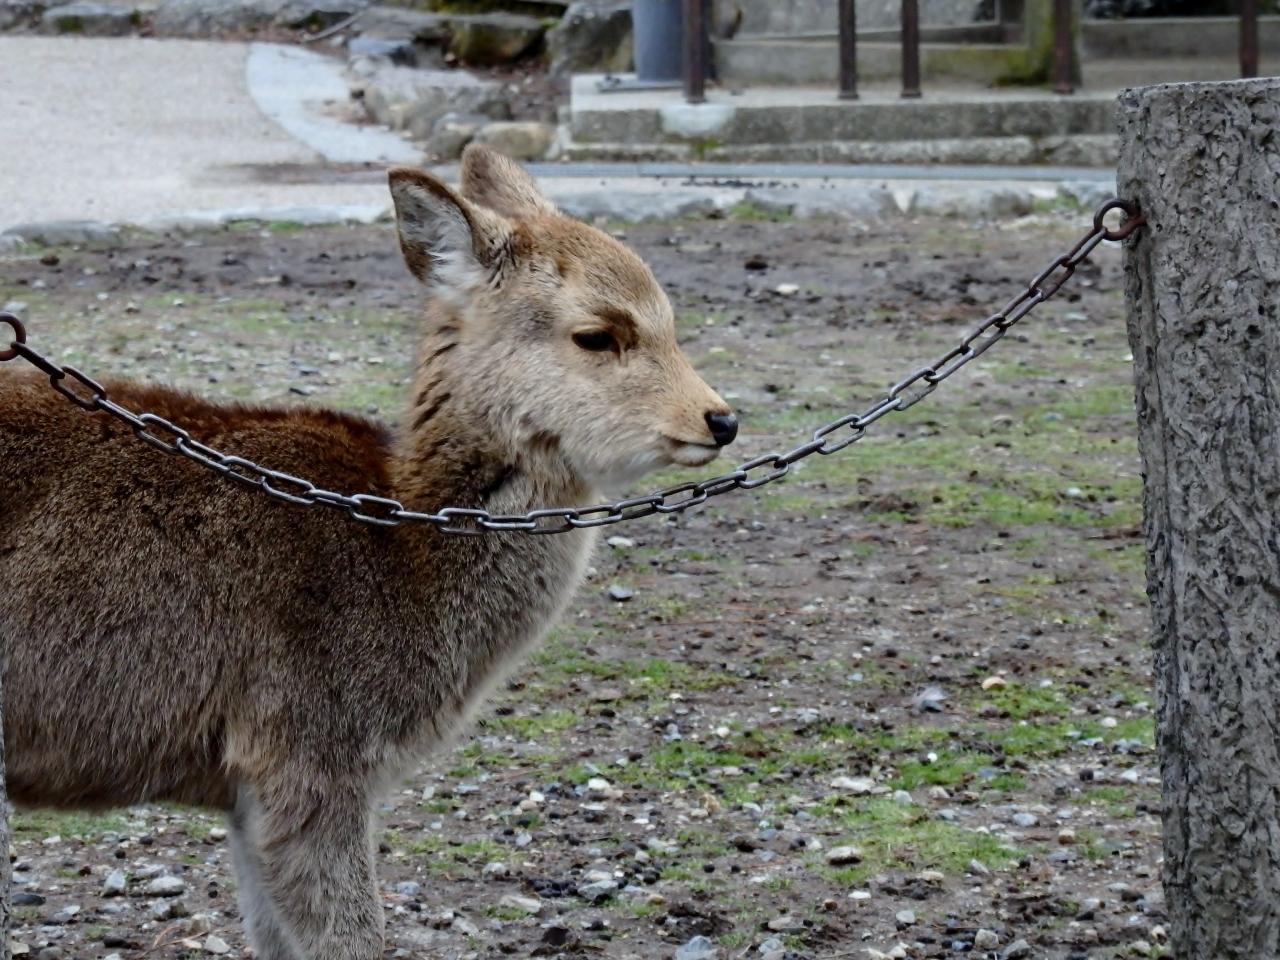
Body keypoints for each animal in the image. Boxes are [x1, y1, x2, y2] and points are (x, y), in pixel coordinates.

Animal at [0, 145, 739, 960]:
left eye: (671, 320)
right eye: (598, 334)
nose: (721, 420)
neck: (402, 550)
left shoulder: (247, 786)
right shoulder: (308, 749)